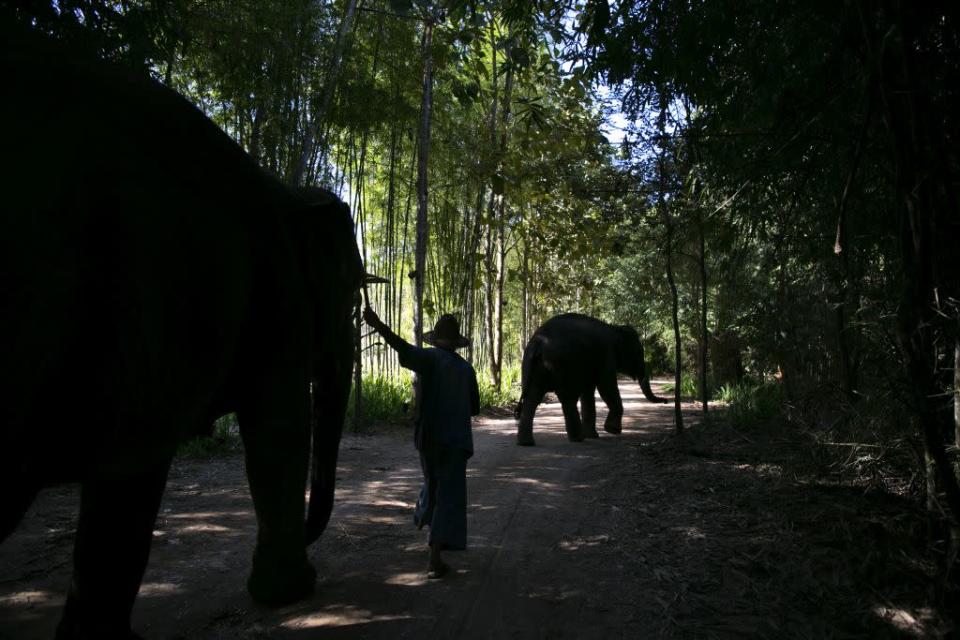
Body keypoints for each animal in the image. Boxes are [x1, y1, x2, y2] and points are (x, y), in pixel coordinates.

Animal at [0, 27, 364, 636]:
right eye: (352, 299)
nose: (316, 544)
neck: (286, 189)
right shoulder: (274, 298)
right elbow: (280, 427)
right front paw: (289, 590)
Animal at [512, 314, 664, 444]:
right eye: (638, 353)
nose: (665, 400)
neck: (615, 328)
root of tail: (538, 343)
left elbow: (588, 393)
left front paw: (593, 435)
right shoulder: (607, 355)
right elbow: (606, 387)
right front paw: (612, 430)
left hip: (534, 367)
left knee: (532, 399)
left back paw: (526, 443)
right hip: (561, 365)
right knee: (567, 399)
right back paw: (578, 438)